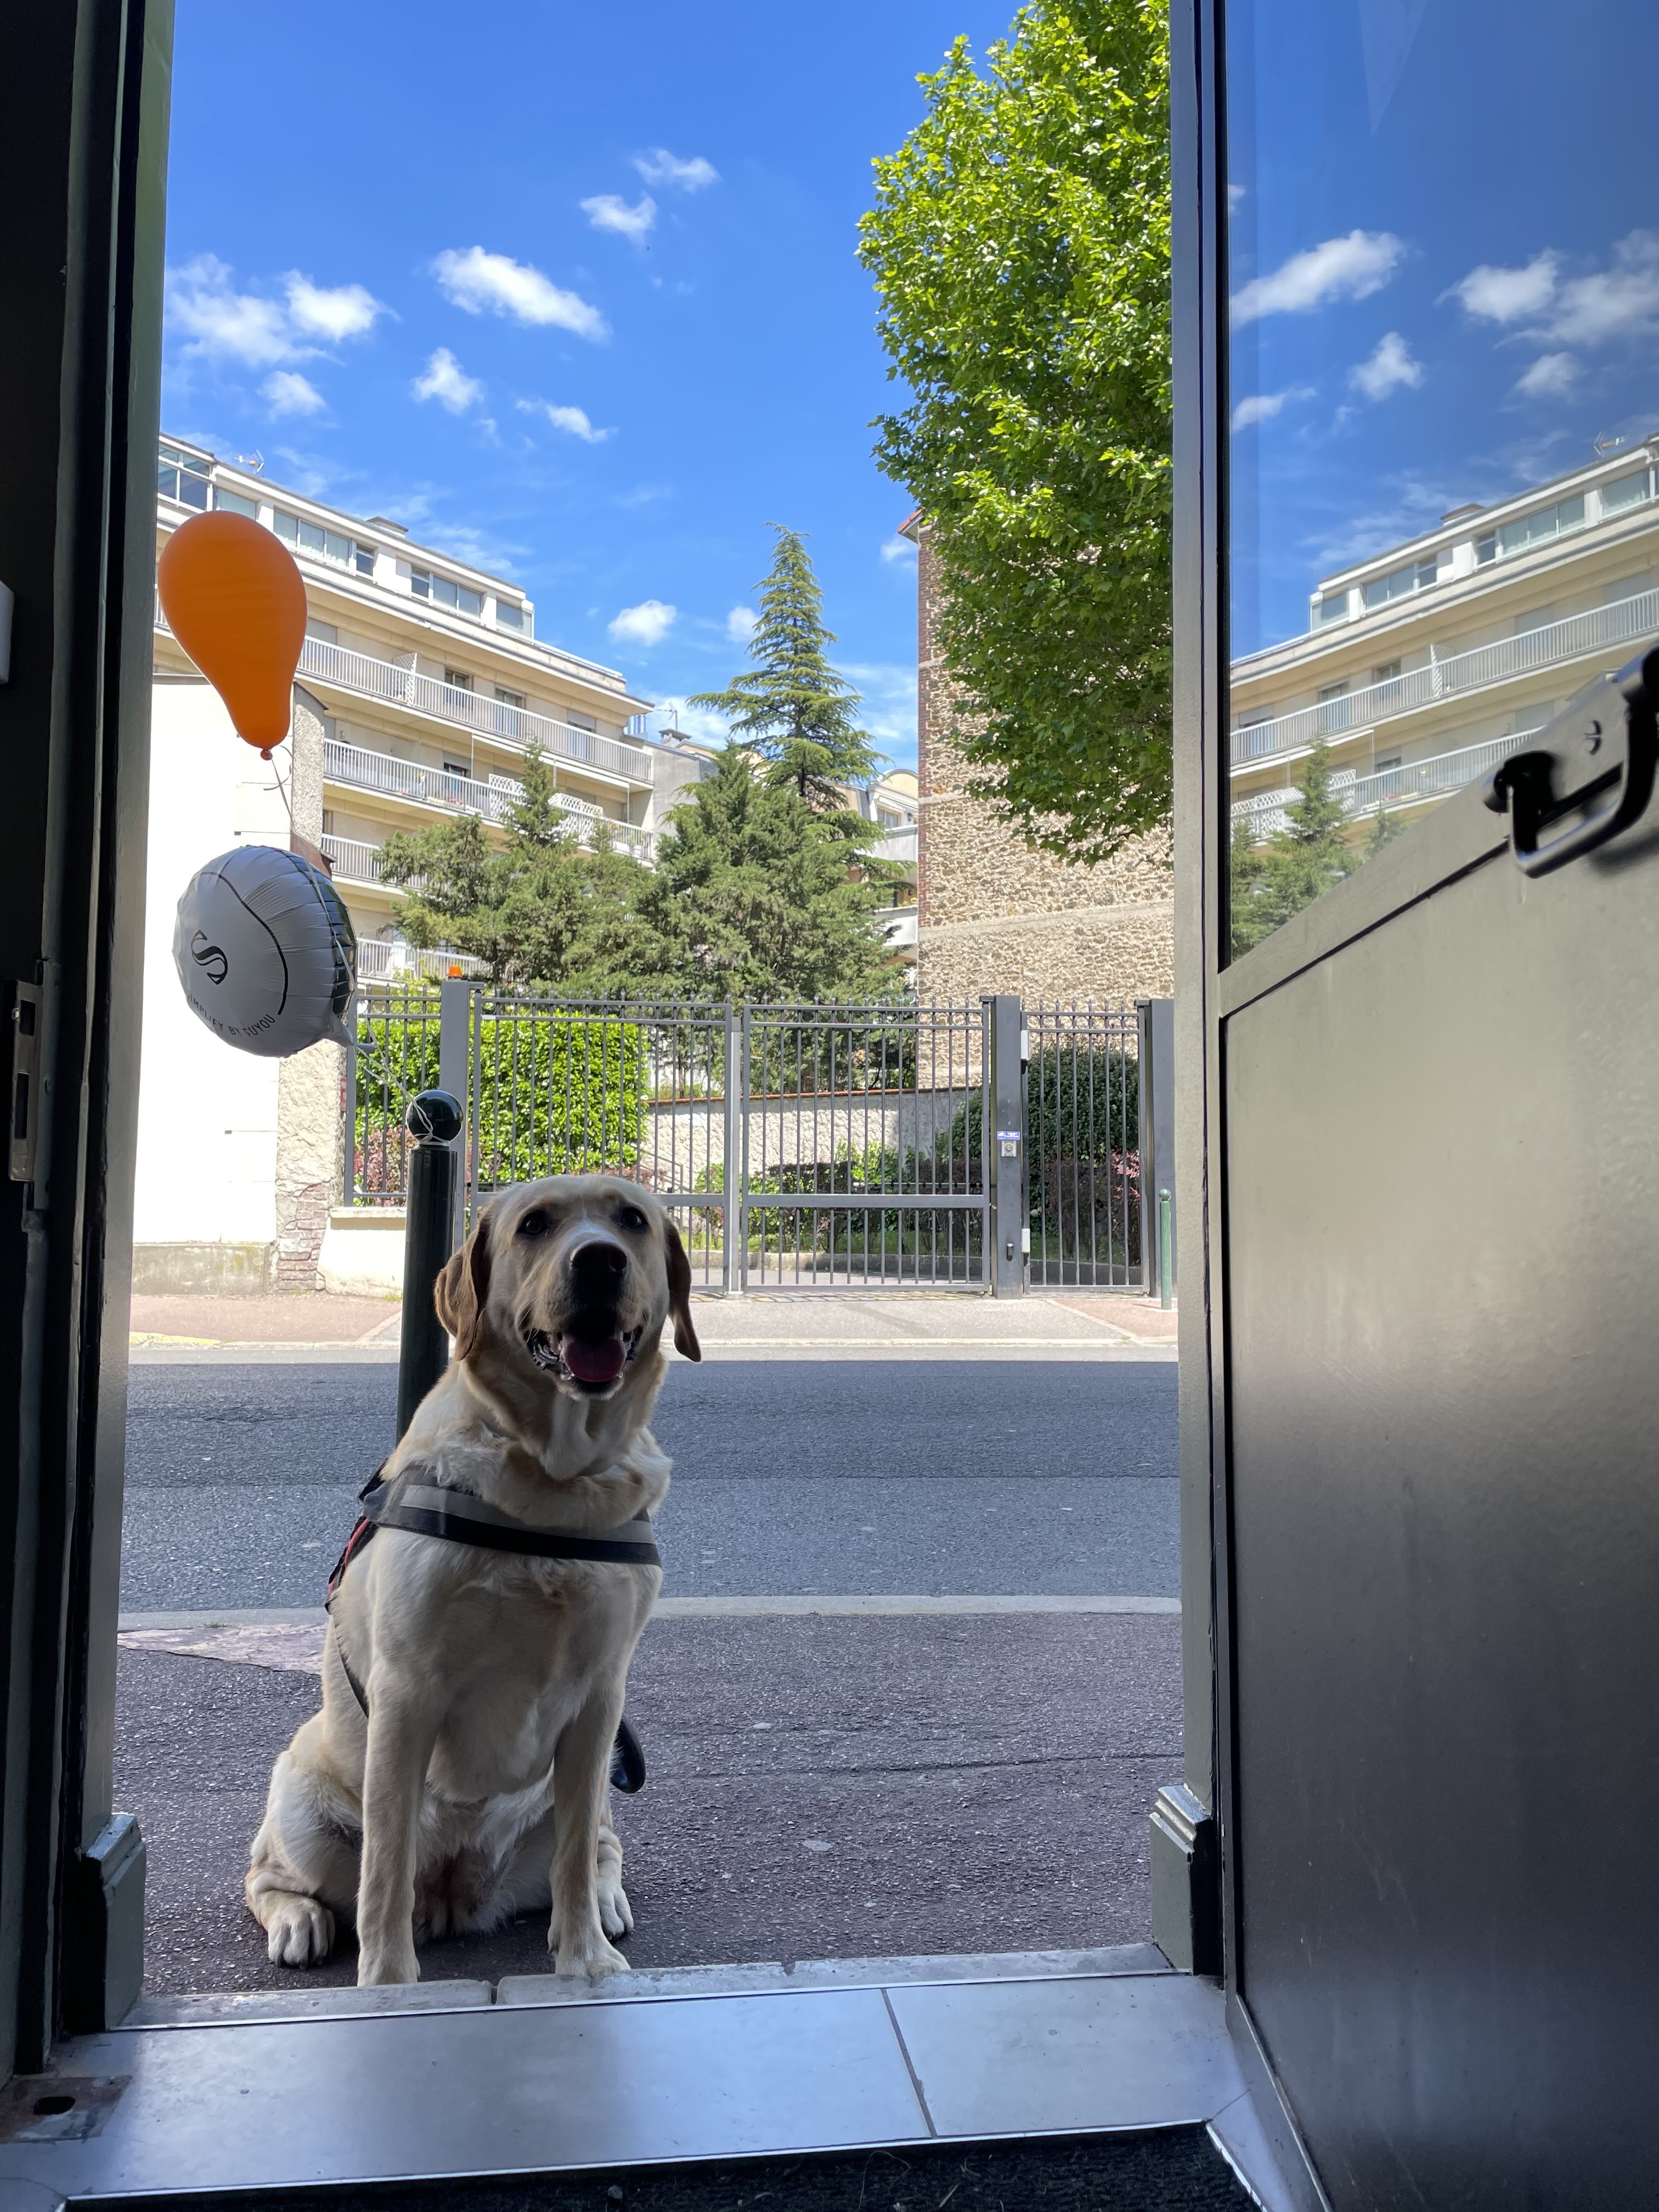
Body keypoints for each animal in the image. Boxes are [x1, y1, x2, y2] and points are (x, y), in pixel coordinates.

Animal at [245, 1174, 700, 1986]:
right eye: (535, 1225)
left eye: (633, 1220)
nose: (600, 1261)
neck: (554, 1484)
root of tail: (457, 1894)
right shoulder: (406, 1692)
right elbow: (385, 1873)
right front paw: (386, 1987)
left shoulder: (601, 1698)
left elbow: (574, 1856)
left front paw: (587, 1961)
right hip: (301, 1791)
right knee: (272, 1873)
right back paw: (299, 1919)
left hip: (593, 1781)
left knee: (595, 1846)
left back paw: (606, 1900)